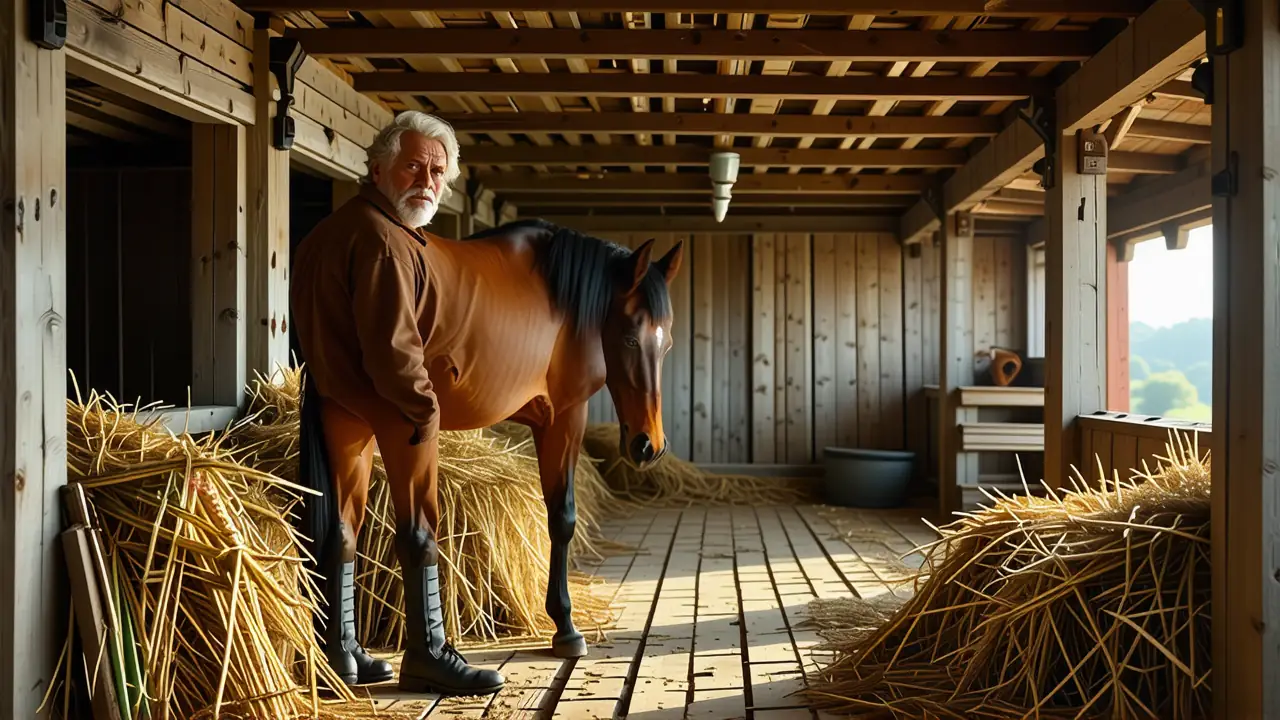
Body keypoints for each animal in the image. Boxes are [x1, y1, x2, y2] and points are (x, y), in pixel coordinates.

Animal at [291, 217, 683, 689]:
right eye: (629, 339)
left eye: (666, 344)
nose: (649, 445)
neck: (564, 299)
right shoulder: (564, 417)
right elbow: (562, 519)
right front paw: (565, 628)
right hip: (398, 429)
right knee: (415, 537)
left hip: (349, 427)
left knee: (342, 535)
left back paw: (347, 661)